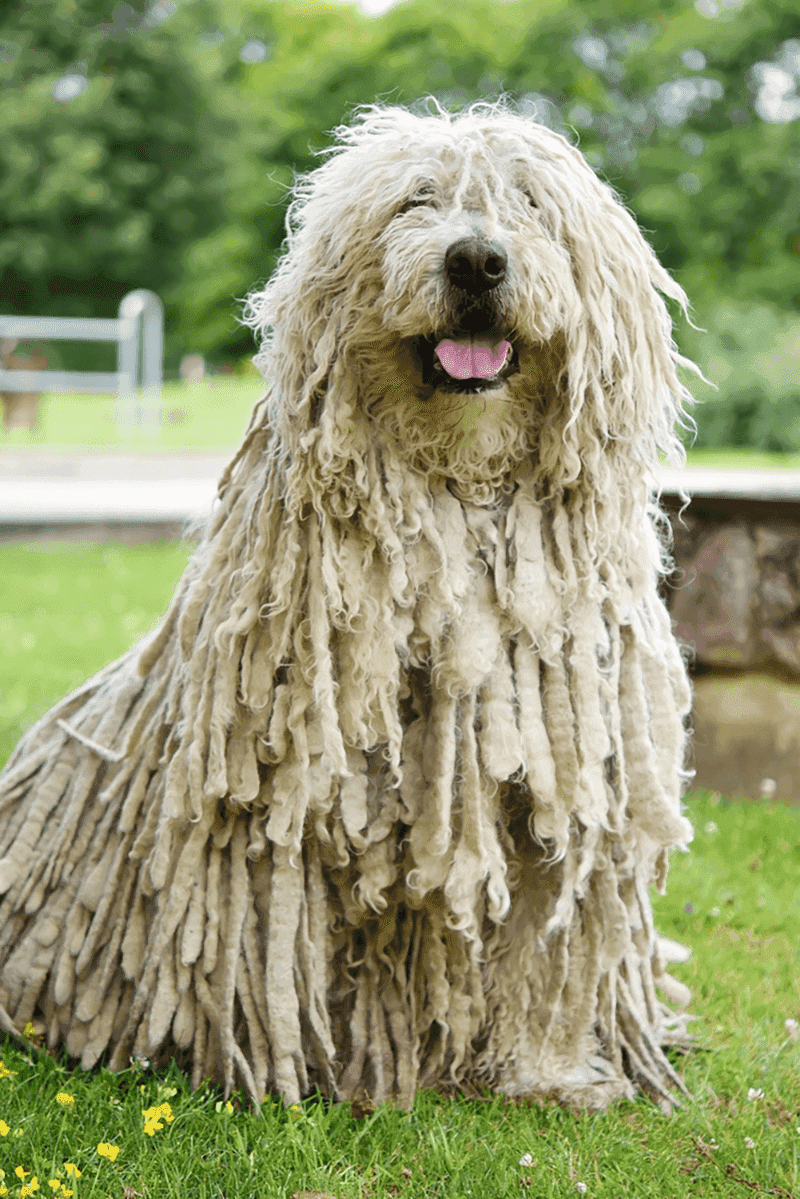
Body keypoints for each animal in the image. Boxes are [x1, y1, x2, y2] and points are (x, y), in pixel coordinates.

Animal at [0, 103, 700, 1112]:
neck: (461, 487)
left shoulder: (564, 764)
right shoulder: (279, 777)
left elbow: (547, 934)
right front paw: (310, 1071)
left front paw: (550, 1072)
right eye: (415, 202)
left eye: (529, 204)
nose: (476, 259)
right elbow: (274, 931)